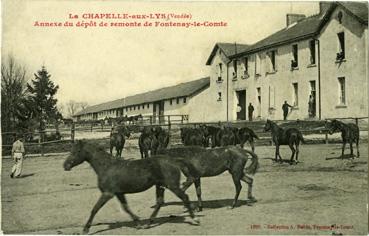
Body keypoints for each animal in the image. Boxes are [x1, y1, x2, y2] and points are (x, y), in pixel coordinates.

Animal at [62, 140, 198, 234]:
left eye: (76, 152)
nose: (65, 166)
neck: (106, 167)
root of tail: (173, 160)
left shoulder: (108, 193)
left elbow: (95, 209)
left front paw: (85, 229)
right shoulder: (119, 193)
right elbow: (126, 208)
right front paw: (138, 223)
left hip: (172, 185)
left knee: (184, 197)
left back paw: (195, 219)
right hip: (160, 186)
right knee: (160, 202)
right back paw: (148, 223)